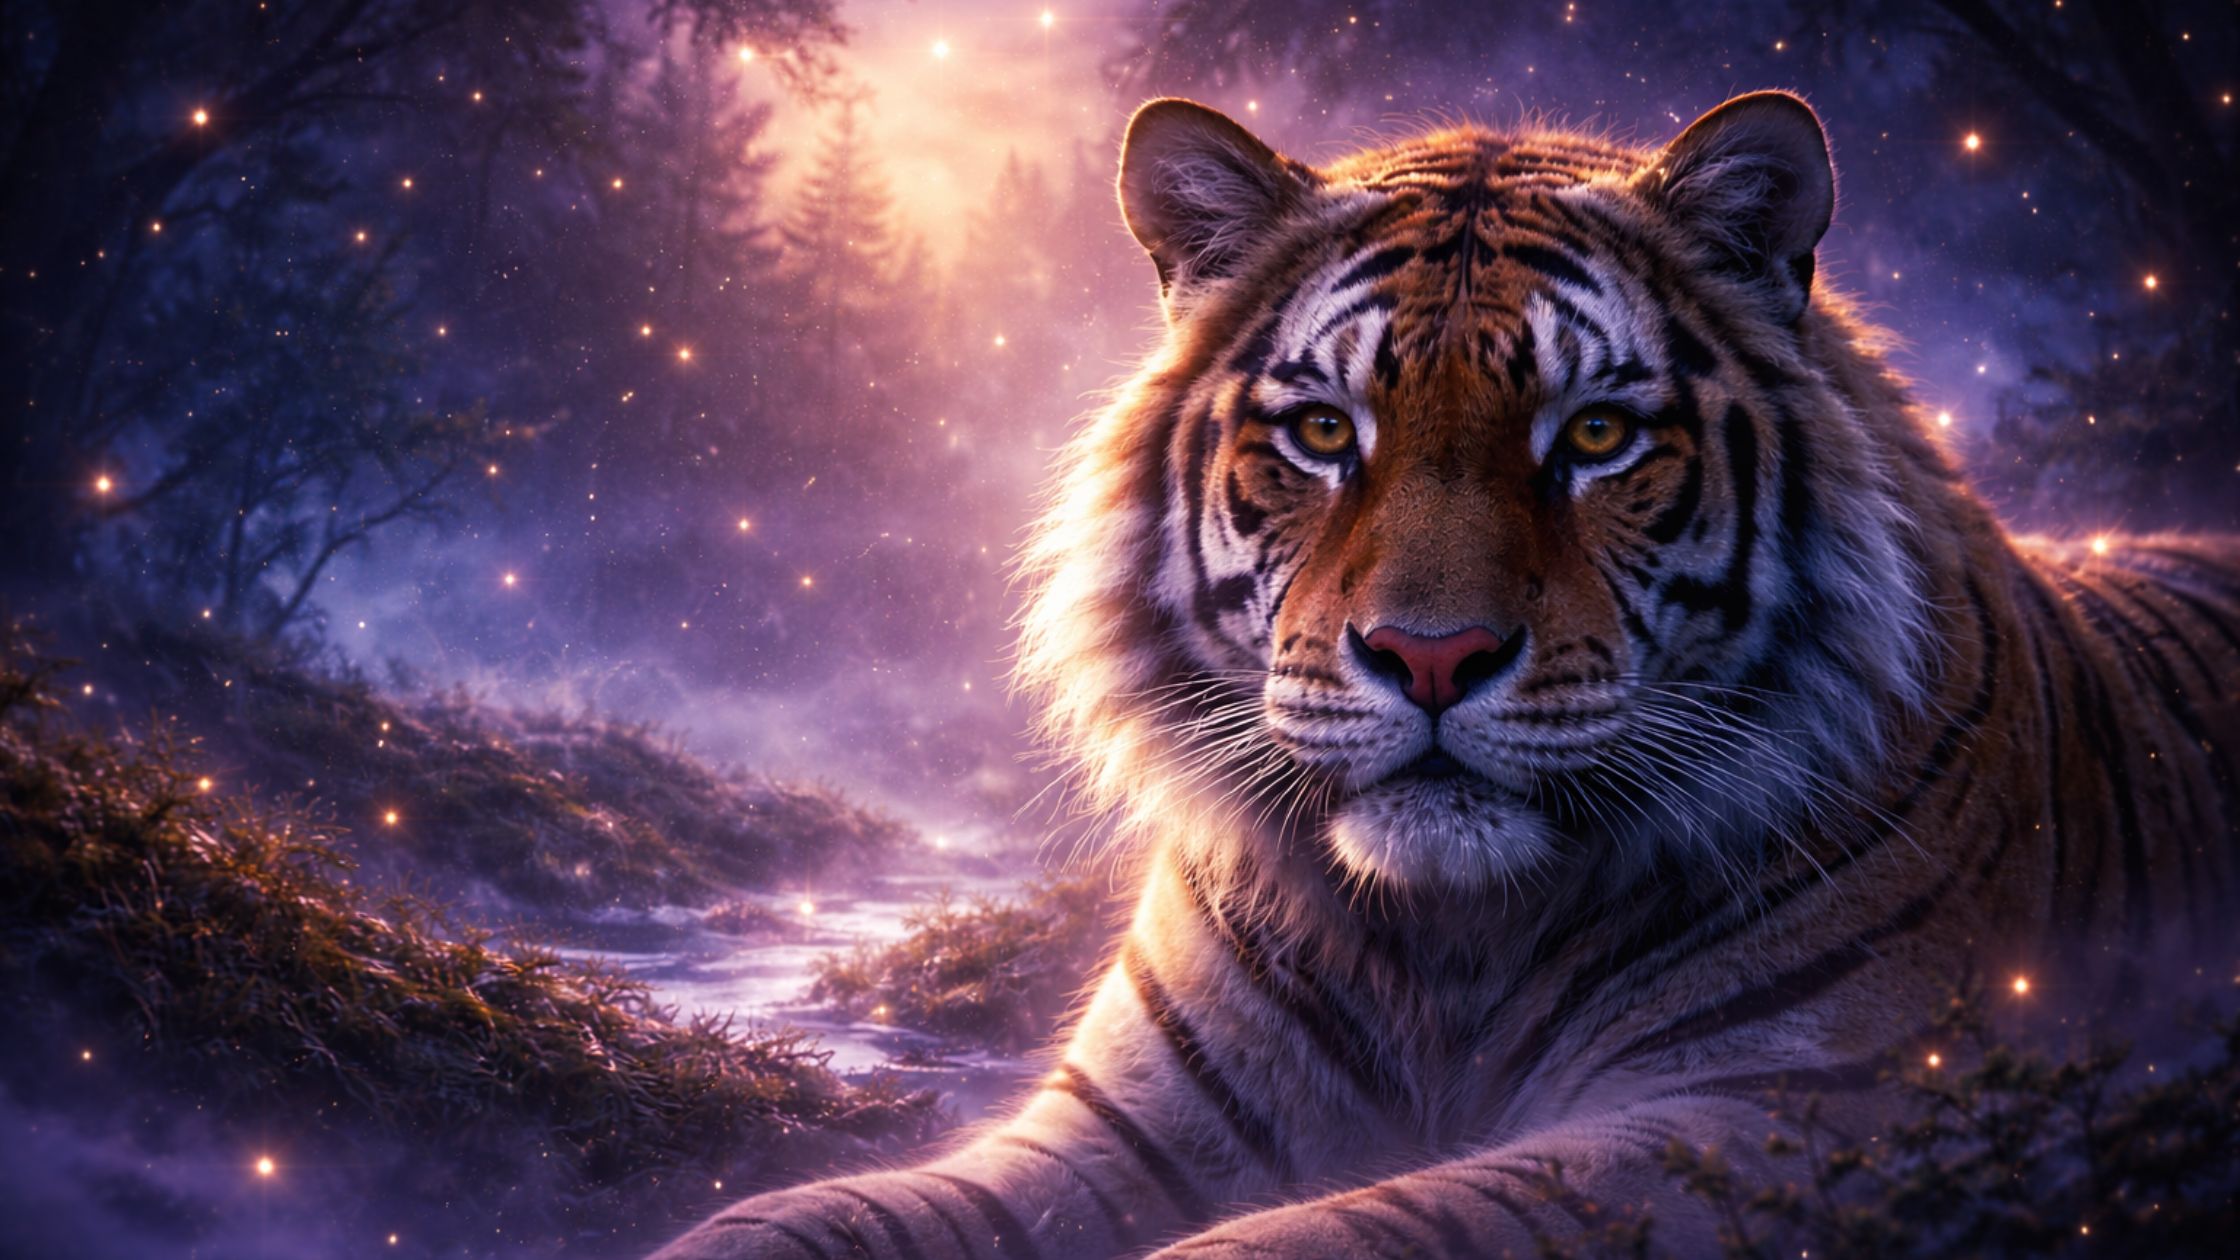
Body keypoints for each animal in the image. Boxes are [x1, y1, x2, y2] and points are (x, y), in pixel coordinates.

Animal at [655, 91, 2240, 1259]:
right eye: (1320, 431)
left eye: (1595, 436)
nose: (1430, 657)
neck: (1443, 943)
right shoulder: (1117, 1127)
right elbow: (797, 1224)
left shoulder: (1765, 1114)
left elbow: (1343, 1231)